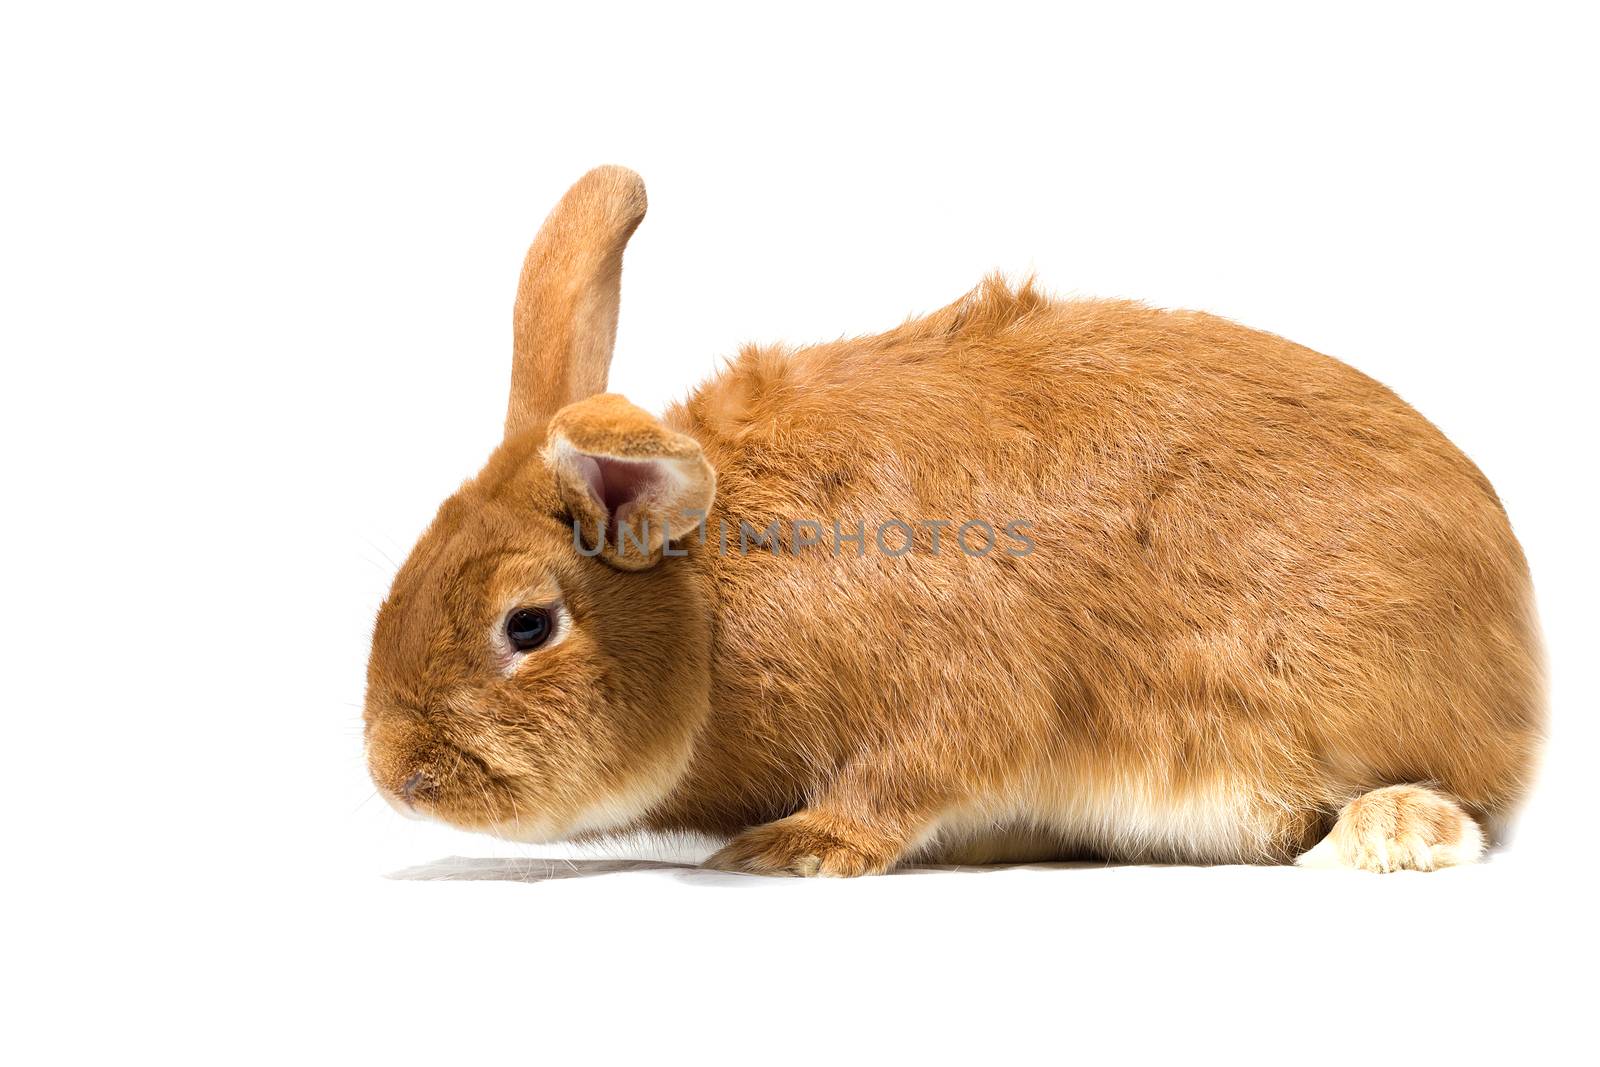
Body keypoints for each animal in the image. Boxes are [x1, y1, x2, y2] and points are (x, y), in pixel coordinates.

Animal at [363, 164, 1536, 876]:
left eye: (526, 626)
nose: (395, 776)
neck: (712, 603)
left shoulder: (952, 692)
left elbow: (912, 772)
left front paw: (790, 848)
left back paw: (1389, 831)